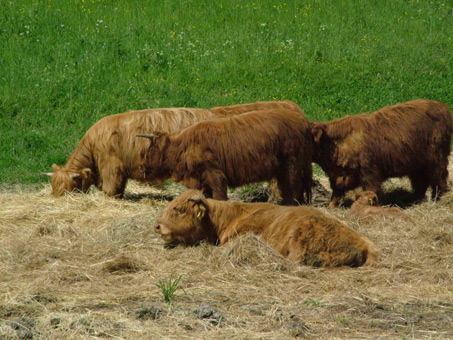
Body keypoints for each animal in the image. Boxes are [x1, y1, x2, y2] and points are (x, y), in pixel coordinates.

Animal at [139, 109, 314, 205]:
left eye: (147, 152)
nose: (142, 167)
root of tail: (302, 120)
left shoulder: (214, 173)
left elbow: (219, 196)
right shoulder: (202, 179)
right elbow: (206, 196)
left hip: (291, 165)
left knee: (292, 187)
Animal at [308, 99, 450, 207]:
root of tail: (442, 106)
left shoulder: (369, 173)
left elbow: (372, 190)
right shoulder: (340, 175)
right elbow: (336, 191)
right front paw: (331, 206)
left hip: (437, 158)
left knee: (439, 178)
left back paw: (440, 200)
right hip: (416, 164)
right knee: (420, 182)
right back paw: (415, 200)